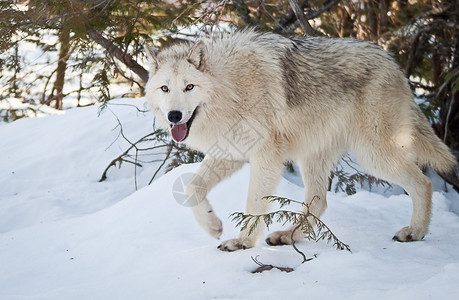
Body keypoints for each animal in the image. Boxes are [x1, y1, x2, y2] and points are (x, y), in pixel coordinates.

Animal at [146, 29, 458, 251]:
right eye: (165, 88)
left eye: (189, 87)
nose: (174, 115)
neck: (230, 87)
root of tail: (394, 64)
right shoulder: (230, 151)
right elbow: (192, 188)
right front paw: (213, 226)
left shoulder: (266, 156)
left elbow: (253, 203)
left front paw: (243, 242)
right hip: (314, 157)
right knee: (319, 204)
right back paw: (287, 236)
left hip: (373, 155)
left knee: (423, 183)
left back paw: (415, 232)